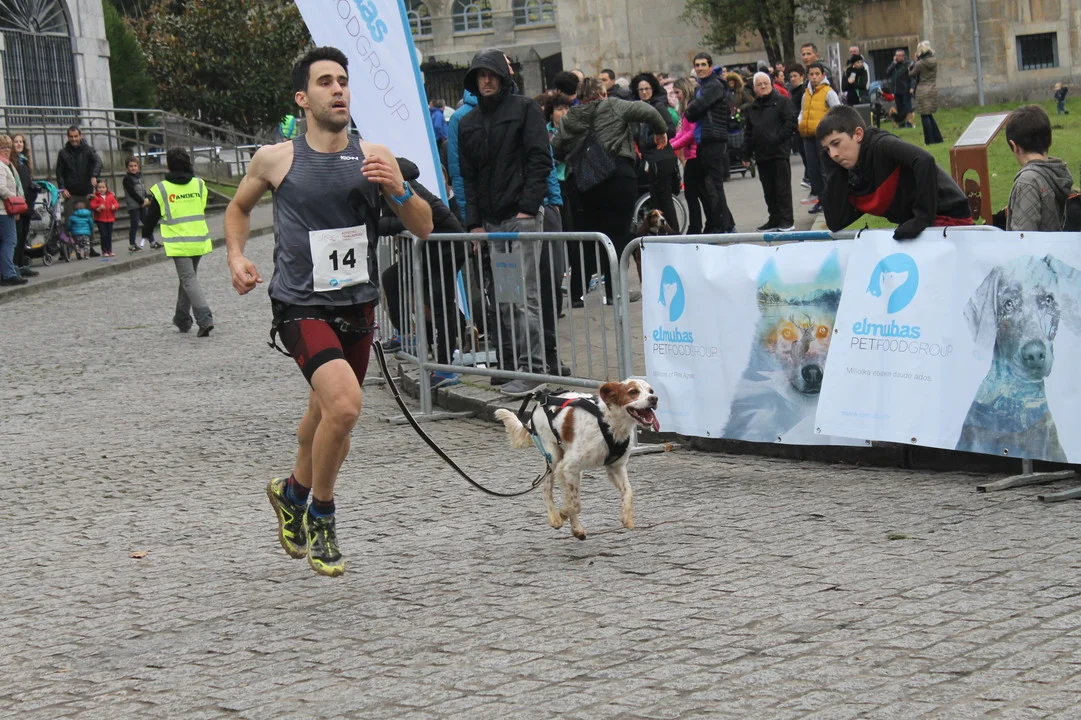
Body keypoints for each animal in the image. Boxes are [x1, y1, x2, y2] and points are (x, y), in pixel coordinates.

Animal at [494, 380, 659, 540]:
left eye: (651, 391)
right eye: (633, 392)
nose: (654, 398)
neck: (609, 423)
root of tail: (539, 402)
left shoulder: (615, 467)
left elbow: (628, 492)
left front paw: (627, 517)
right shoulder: (568, 466)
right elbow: (575, 504)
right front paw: (562, 514)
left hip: (571, 471)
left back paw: (576, 529)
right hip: (553, 458)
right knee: (546, 489)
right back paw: (554, 517)